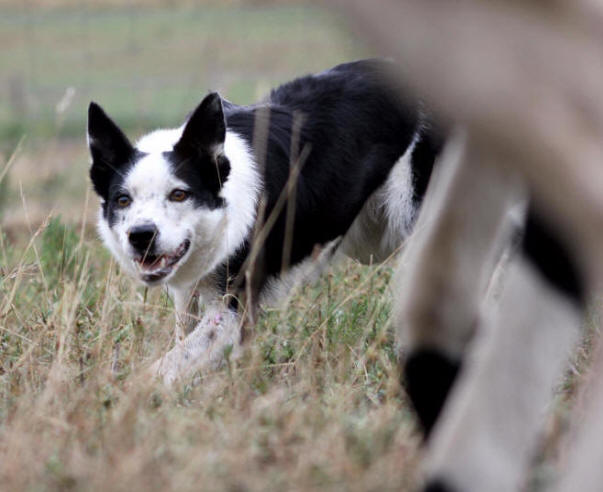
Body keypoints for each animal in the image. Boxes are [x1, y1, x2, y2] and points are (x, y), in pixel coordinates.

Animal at [86, 60, 444, 384]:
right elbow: (180, 342)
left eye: (179, 194)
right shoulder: (189, 292)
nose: (141, 235)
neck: (225, 206)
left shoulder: (231, 314)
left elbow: (162, 368)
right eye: (123, 200)